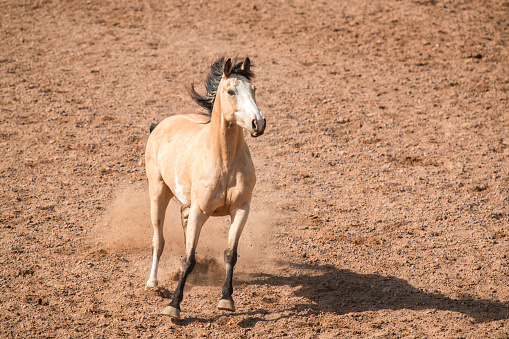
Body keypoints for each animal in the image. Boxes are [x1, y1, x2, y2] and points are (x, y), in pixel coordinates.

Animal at [143, 55, 266, 318]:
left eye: (253, 89)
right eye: (231, 91)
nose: (258, 123)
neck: (224, 160)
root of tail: (159, 125)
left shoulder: (241, 209)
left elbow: (230, 254)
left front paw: (226, 299)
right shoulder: (200, 211)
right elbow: (188, 259)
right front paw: (173, 306)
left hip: (187, 205)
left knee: (183, 222)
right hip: (158, 192)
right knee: (159, 239)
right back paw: (152, 283)